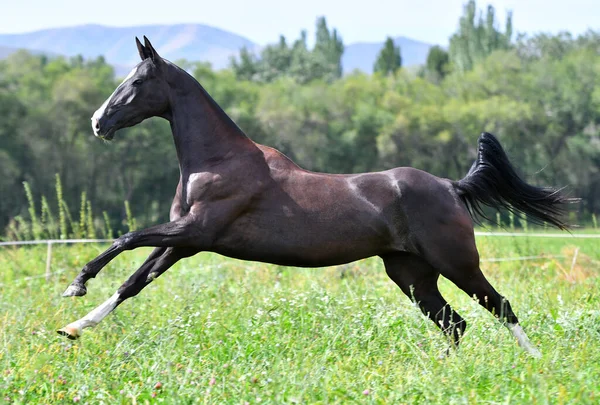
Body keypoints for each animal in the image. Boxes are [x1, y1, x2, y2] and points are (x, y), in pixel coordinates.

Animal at [57, 36, 572, 356]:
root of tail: (450, 186)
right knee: (456, 323)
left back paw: (535, 363)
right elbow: (133, 282)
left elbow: (126, 239)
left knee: (499, 306)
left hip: (457, 262)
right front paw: (74, 326)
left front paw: (75, 285)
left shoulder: (195, 230)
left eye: (137, 82)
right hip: (412, 275)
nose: (98, 122)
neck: (217, 161)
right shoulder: (184, 242)